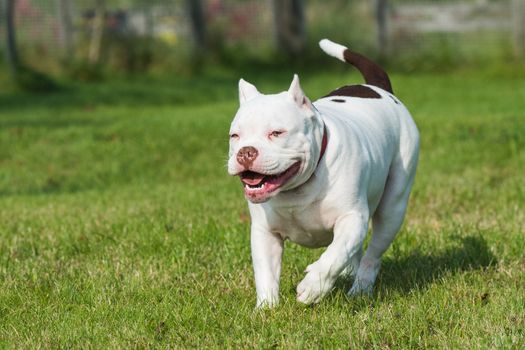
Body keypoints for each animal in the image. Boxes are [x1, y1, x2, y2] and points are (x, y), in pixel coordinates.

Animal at [225, 39, 418, 306]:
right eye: (235, 135)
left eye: (277, 133)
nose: (245, 152)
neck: (298, 188)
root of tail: (377, 88)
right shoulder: (265, 233)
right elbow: (266, 272)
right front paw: (266, 308)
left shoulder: (352, 218)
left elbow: (335, 254)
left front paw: (313, 286)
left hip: (393, 208)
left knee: (372, 255)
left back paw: (360, 289)